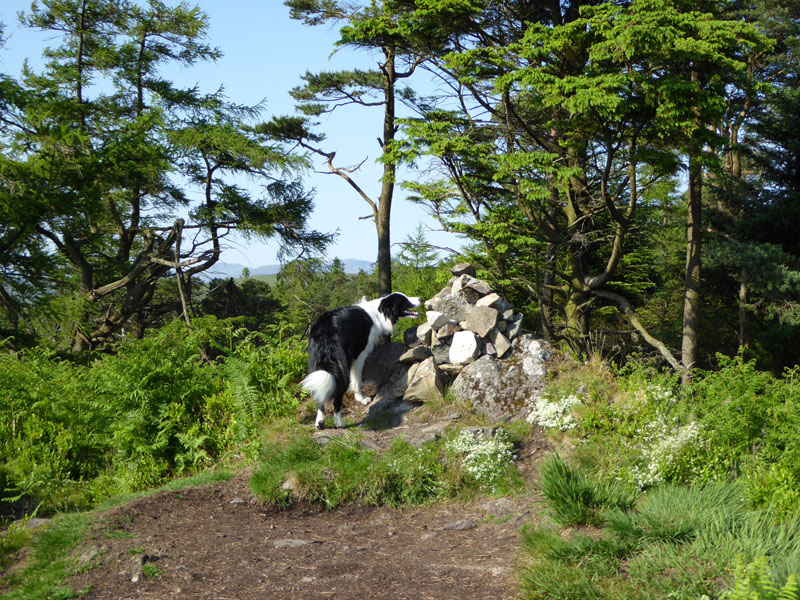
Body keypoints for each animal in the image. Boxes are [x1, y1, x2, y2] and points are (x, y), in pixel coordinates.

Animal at [300, 292, 422, 428]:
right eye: (403, 300)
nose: (421, 299)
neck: (378, 313)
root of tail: (326, 331)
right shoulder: (359, 356)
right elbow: (357, 380)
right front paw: (361, 399)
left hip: (316, 364)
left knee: (320, 394)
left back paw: (320, 422)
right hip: (341, 366)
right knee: (337, 396)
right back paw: (339, 422)